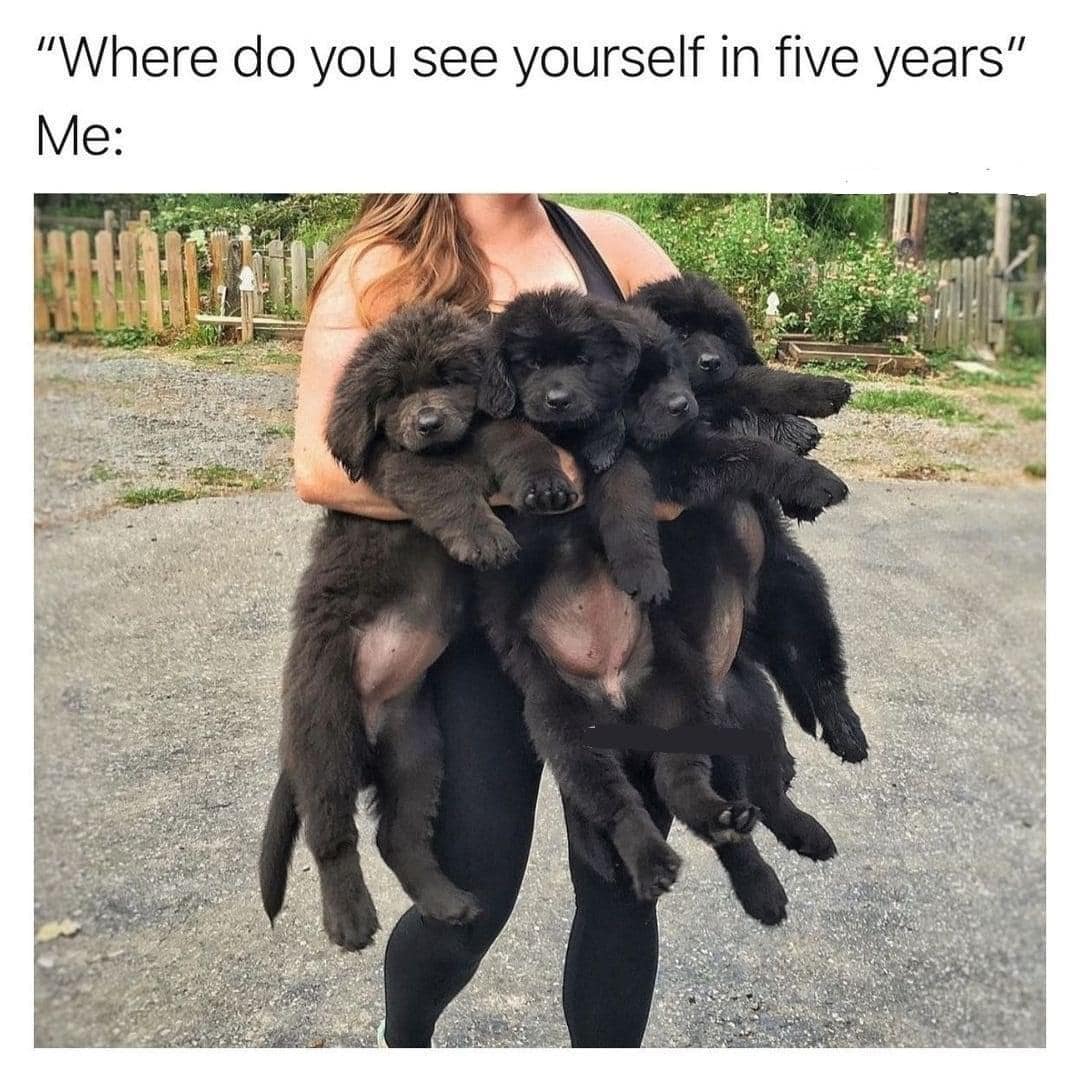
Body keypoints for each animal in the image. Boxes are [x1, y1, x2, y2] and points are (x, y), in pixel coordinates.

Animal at [631, 274, 869, 762]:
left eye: (723, 333)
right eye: (680, 331)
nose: (710, 361)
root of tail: (753, 627)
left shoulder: (720, 390)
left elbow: (753, 378)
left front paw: (820, 389)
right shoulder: (674, 460)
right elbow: (750, 449)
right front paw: (811, 476)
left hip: (799, 590)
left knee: (822, 665)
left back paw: (846, 731)